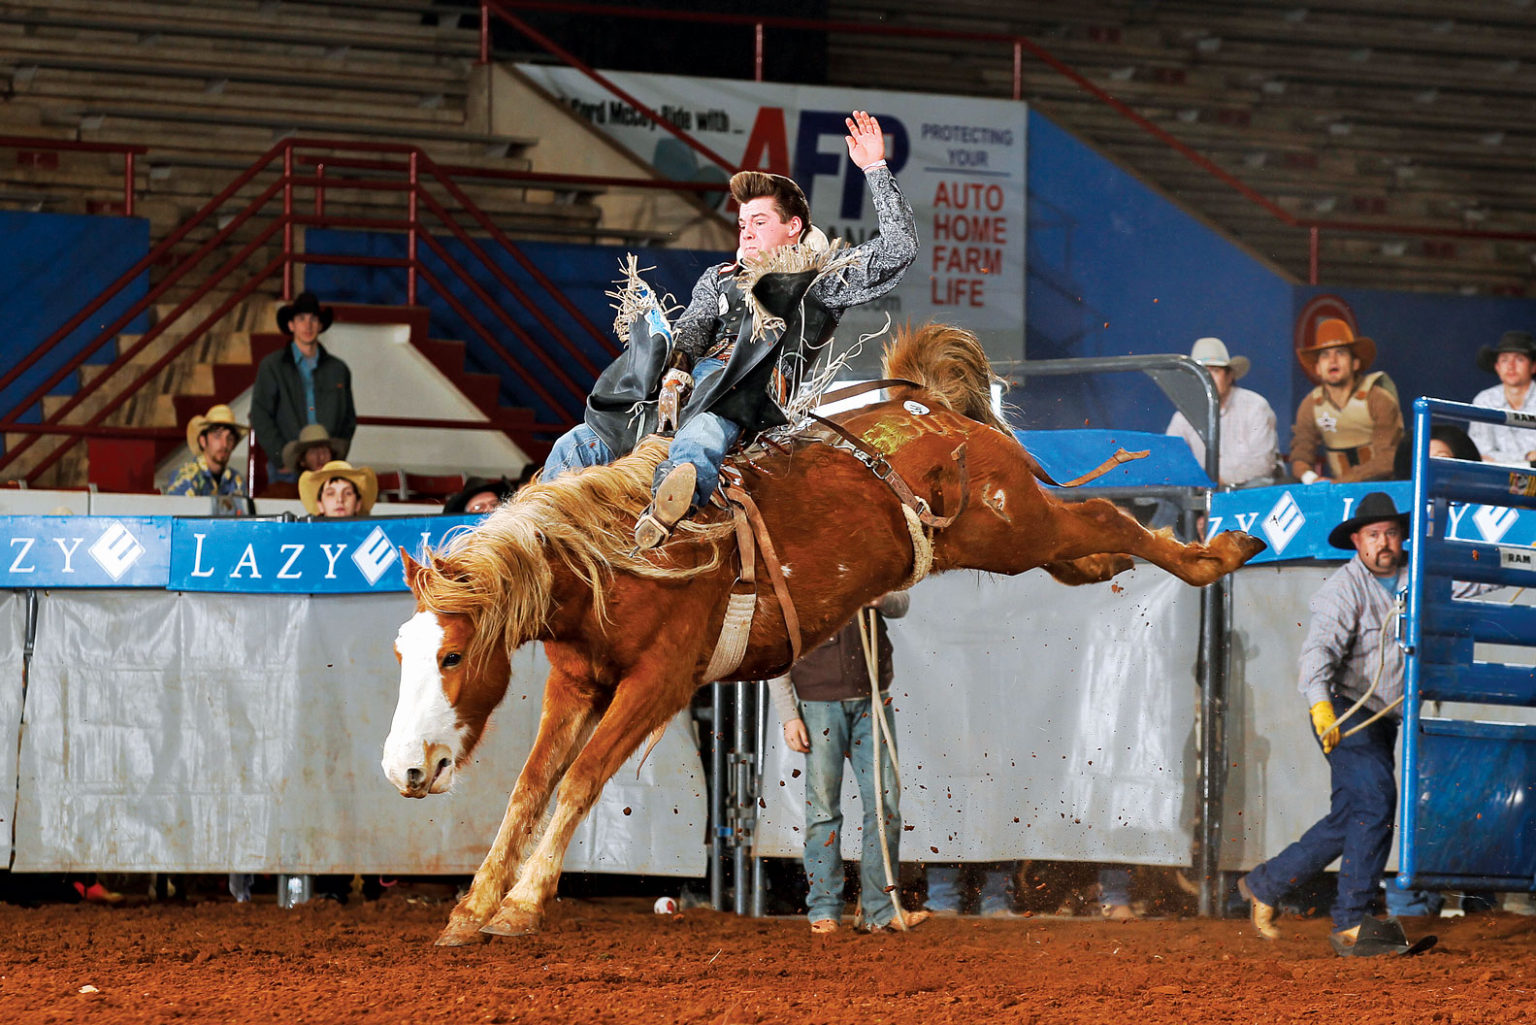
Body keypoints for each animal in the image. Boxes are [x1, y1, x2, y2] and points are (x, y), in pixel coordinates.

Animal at [380, 322, 1259, 946]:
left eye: (451, 653)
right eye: (400, 653)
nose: (403, 767)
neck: (619, 554)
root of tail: (932, 406)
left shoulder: (661, 680)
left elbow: (580, 780)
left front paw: (522, 905)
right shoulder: (576, 681)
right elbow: (531, 787)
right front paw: (472, 907)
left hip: (1013, 518)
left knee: (1102, 511)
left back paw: (1219, 551)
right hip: (1011, 540)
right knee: (1087, 542)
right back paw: (1137, 559)